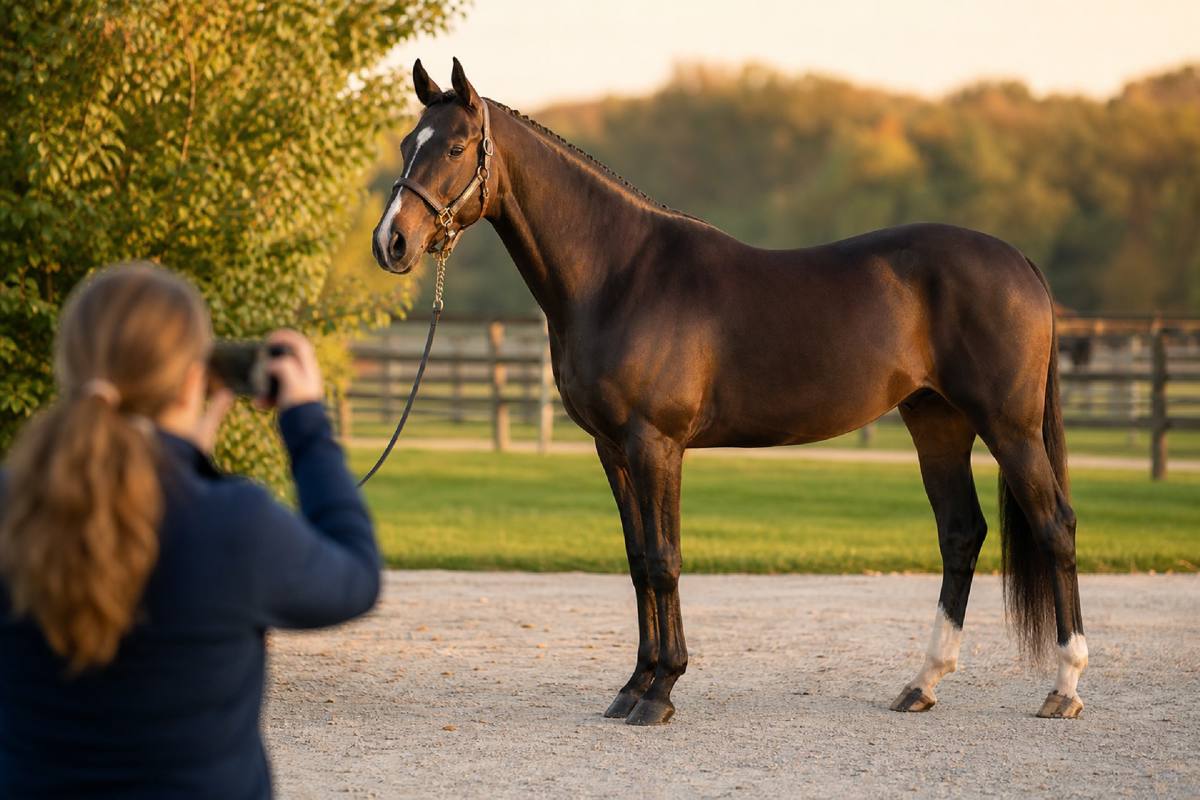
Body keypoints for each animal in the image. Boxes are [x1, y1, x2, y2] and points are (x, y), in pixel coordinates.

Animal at [372, 58, 1088, 725]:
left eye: (455, 147)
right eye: (408, 143)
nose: (392, 242)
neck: (619, 273)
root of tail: (1018, 262)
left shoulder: (655, 443)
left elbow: (664, 559)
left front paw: (660, 691)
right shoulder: (613, 448)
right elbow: (637, 559)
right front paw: (633, 686)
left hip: (1009, 427)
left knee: (1054, 526)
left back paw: (1065, 687)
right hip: (936, 422)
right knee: (960, 533)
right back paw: (922, 684)